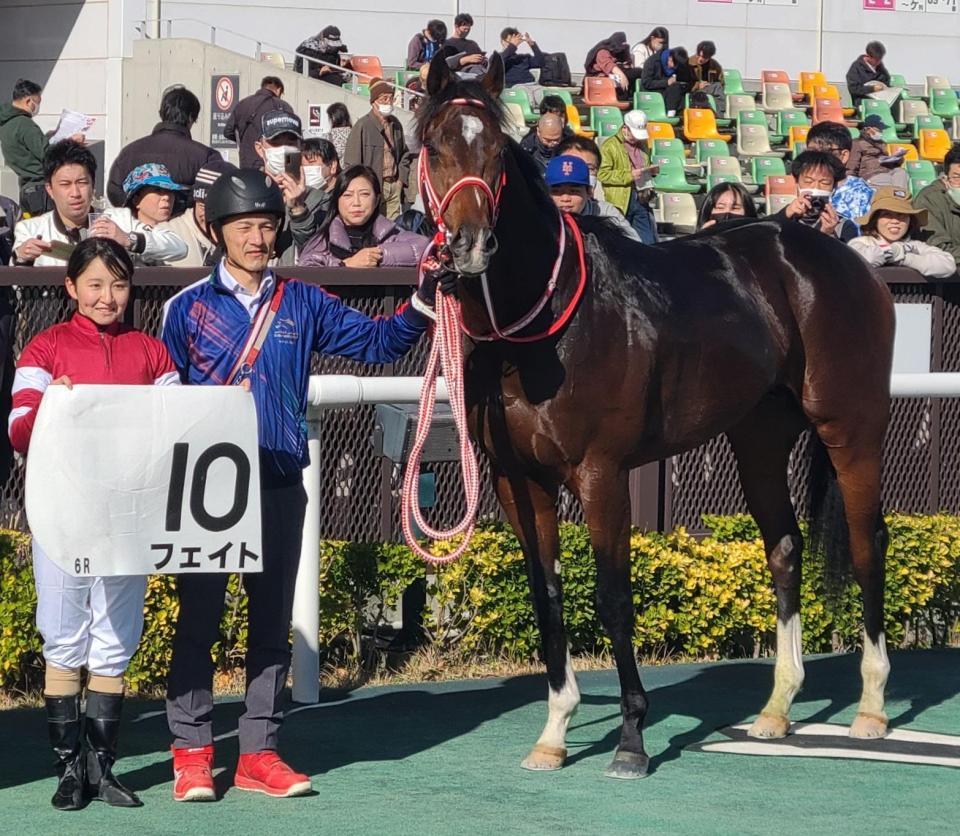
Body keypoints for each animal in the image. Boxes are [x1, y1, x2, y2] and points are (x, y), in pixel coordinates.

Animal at [416, 55, 896, 780]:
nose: (471, 246)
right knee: (785, 546)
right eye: (434, 147)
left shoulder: (602, 473)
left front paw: (630, 740)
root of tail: (842, 258)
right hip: (759, 436)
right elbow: (547, 595)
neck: (540, 327)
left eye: (497, 151)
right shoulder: (517, 480)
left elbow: (613, 597)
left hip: (851, 429)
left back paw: (870, 708)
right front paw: (554, 733)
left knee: (868, 546)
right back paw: (776, 709)